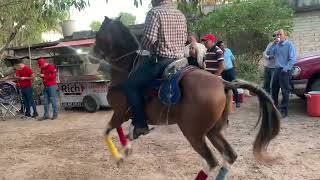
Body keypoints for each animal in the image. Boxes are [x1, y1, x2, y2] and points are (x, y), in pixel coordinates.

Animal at [90, 17, 280, 179]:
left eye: (98, 35)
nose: (91, 56)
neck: (127, 70)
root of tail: (223, 82)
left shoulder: (120, 112)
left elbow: (106, 131)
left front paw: (119, 156)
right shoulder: (124, 114)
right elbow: (118, 130)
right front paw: (125, 149)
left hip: (193, 133)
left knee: (212, 161)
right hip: (213, 131)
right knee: (229, 156)